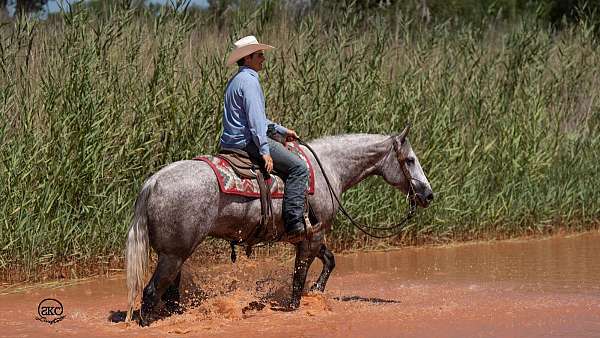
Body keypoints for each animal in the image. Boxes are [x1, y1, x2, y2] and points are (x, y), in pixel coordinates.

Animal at [126, 125, 434, 324]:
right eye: (410, 160)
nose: (428, 194)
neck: (328, 168)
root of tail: (153, 182)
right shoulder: (310, 238)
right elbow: (298, 277)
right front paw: (296, 306)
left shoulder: (311, 236)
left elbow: (330, 260)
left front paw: (317, 291)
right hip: (173, 254)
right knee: (151, 292)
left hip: (174, 254)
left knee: (170, 293)